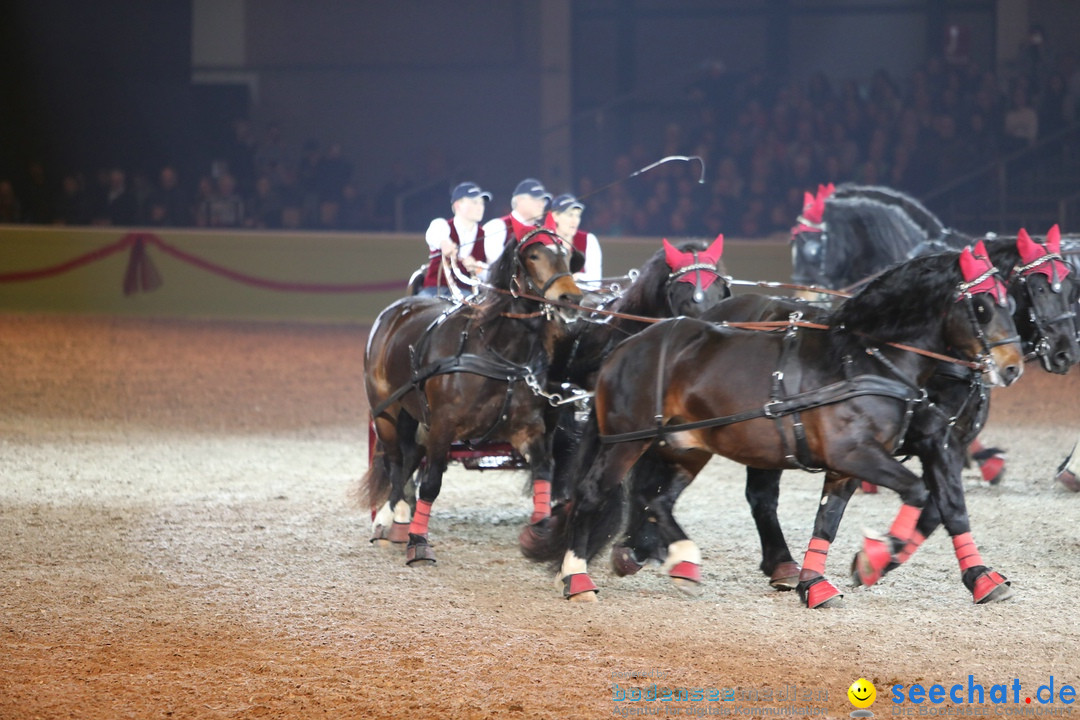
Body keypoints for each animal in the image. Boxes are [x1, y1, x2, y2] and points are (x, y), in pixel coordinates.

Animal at [527, 248, 1023, 604]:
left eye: (1012, 301)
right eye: (982, 306)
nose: (1012, 366)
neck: (864, 357)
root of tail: (626, 346)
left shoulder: (852, 464)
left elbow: (831, 520)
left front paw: (816, 583)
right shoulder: (856, 452)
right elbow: (920, 493)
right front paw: (876, 556)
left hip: (688, 445)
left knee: (657, 499)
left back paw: (684, 562)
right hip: (628, 441)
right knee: (595, 493)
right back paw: (578, 578)